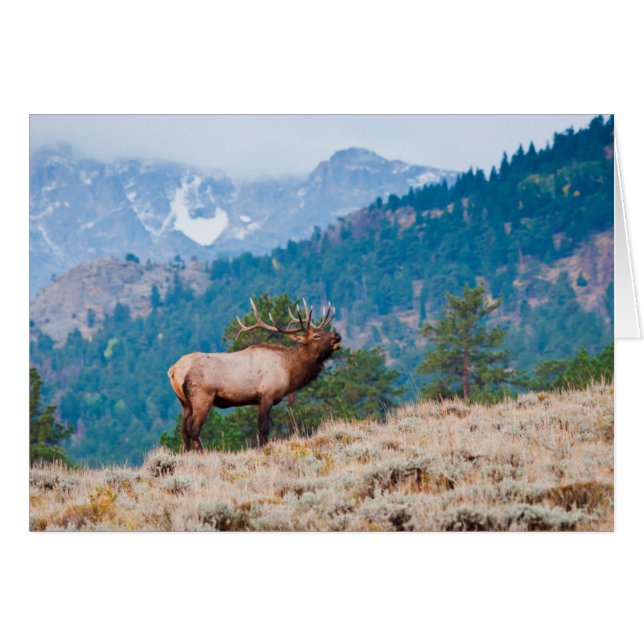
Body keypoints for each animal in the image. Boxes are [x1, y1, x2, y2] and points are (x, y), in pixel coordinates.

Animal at [167, 299, 341, 451]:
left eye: (323, 330)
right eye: (316, 336)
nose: (337, 335)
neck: (288, 372)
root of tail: (174, 370)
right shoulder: (267, 394)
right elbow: (263, 429)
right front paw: (262, 449)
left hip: (184, 403)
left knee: (183, 429)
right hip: (202, 396)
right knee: (194, 428)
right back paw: (202, 453)